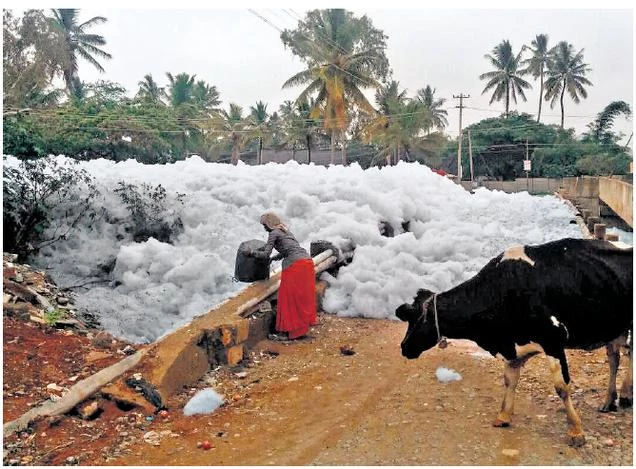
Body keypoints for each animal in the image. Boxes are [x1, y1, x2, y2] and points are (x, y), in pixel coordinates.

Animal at [398, 238, 632, 446]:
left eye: (415, 319)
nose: (404, 347)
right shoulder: (512, 347)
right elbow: (510, 380)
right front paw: (503, 416)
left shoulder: (553, 340)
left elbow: (561, 387)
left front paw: (576, 431)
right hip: (613, 327)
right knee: (616, 358)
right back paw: (611, 400)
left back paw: (623, 396)